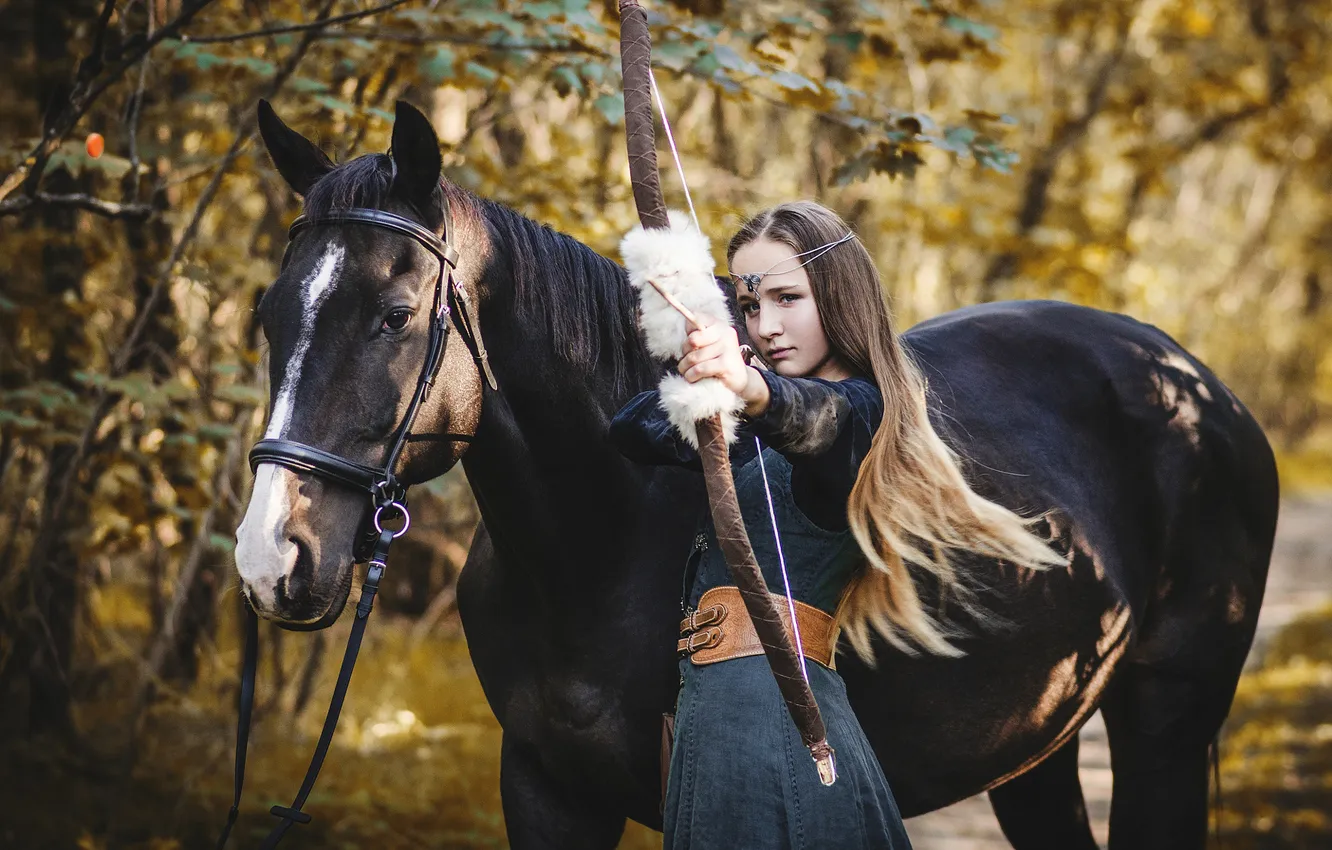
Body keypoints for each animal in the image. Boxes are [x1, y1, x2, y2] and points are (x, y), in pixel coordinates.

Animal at [237, 103, 1278, 850]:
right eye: (268, 314)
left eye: (396, 315)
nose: (269, 559)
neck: (600, 546)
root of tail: (1202, 388)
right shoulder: (544, 787)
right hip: (1037, 741)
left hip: (1167, 720)